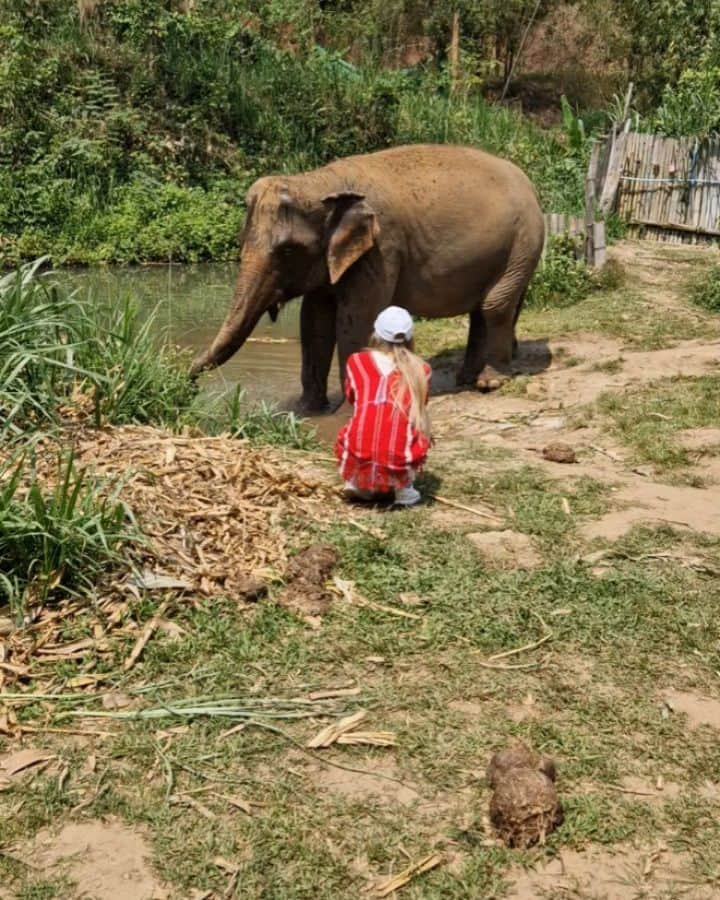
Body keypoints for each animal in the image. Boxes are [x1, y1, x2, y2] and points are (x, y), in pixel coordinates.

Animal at [191, 144, 544, 412]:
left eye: (288, 251)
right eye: (240, 241)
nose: (189, 377)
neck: (319, 181)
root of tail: (530, 184)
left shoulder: (381, 249)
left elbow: (355, 319)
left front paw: (345, 411)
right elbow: (314, 321)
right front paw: (307, 410)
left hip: (523, 244)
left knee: (494, 305)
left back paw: (489, 381)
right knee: (485, 308)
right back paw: (467, 379)